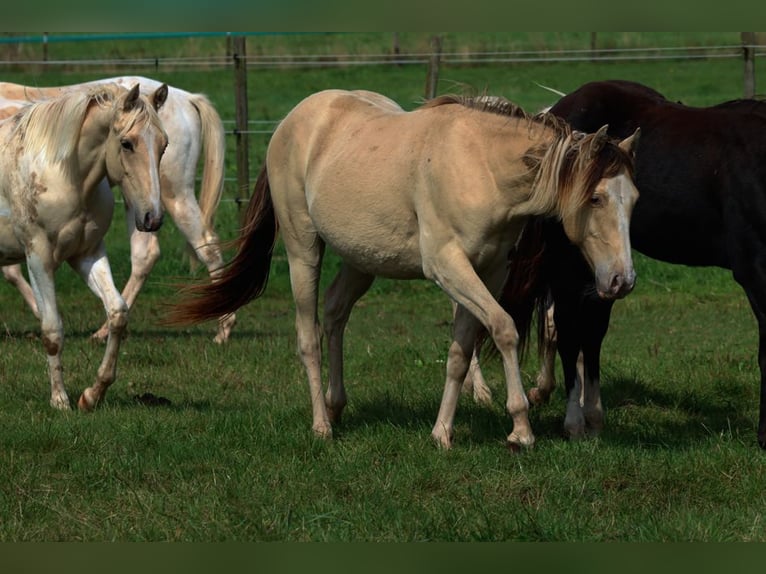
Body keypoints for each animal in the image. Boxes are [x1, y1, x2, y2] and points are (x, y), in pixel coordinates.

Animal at [0, 76, 237, 346]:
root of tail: (187, 97)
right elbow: (11, 270)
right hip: (142, 202)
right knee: (147, 255)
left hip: (172, 195)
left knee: (205, 245)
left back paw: (224, 327)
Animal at [0, 83, 169, 412]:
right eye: (127, 143)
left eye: (164, 145)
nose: (152, 218)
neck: (63, 174)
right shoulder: (38, 258)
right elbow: (52, 330)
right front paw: (60, 400)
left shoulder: (87, 255)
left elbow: (117, 312)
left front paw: (92, 395)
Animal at [164, 89, 640, 450]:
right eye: (595, 197)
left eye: (633, 198)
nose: (622, 280)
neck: (481, 165)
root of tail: (292, 121)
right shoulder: (449, 267)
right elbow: (504, 329)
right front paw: (520, 429)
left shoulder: (488, 272)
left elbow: (460, 352)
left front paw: (442, 432)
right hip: (304, 252)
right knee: (308, 336)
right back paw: (321, 424)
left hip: (361, 260)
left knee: (334, 315)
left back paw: (337, 405)